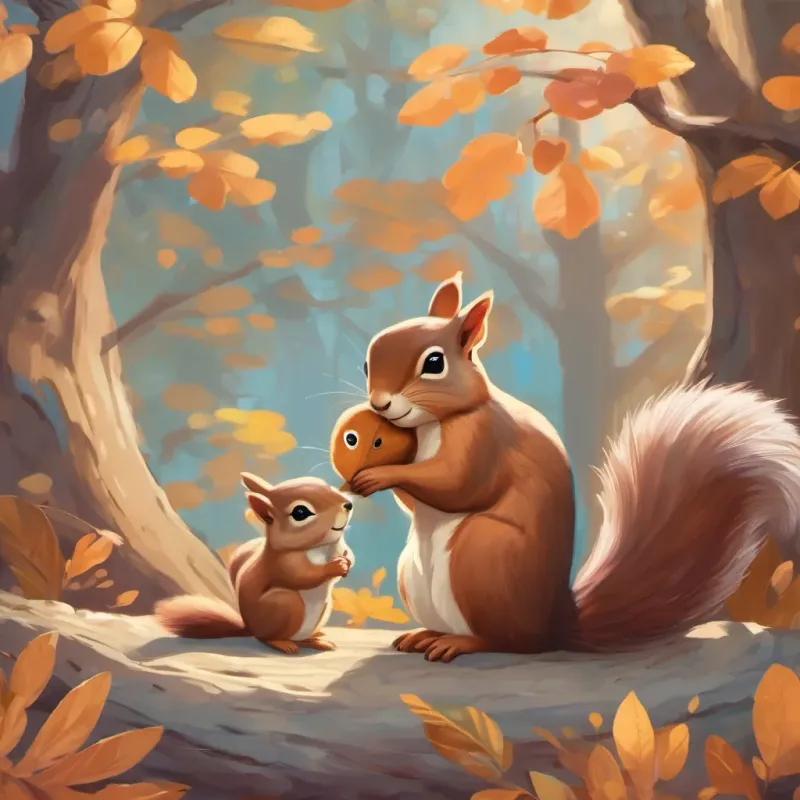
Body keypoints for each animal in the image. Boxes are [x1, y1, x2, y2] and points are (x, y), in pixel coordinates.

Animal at [154, 473, 354, 654]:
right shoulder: (283, 563)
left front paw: (347, 561)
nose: (348, 504)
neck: (324, 547)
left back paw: (317, 640)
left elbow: (348, 555)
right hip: (285, 604)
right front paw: (335, 566)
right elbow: (303, 576)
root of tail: (249, 628)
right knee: (267, 637)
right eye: (300, 513)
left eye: (327, 485)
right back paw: (284, 644)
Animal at [347, 273, 800, 663]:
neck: (435, 423)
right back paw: (425, 634)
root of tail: (555, 627)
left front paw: (382, 475)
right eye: (366, 365)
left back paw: (458, 643)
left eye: (434, 363)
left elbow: (458, 484)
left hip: (482, 556)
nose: (379, 404)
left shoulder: (485, 440)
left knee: (506, 642)